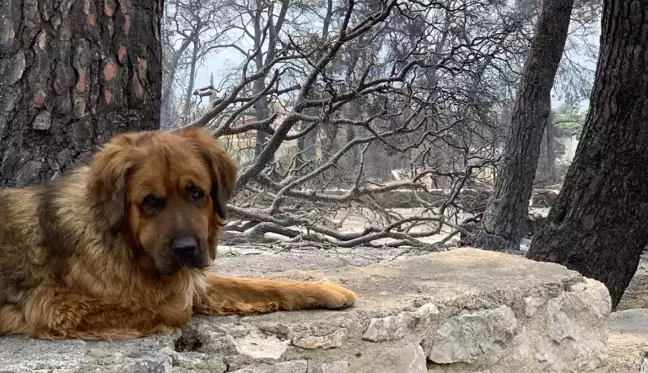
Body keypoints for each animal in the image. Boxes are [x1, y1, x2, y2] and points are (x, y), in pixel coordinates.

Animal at [0, 126, 356, 338]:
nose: (186, 249)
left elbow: (258, 285)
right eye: (151, 202)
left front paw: (325, 290)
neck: (125, 246)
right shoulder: (55, 306)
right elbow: (177, 309)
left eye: (196, 193)